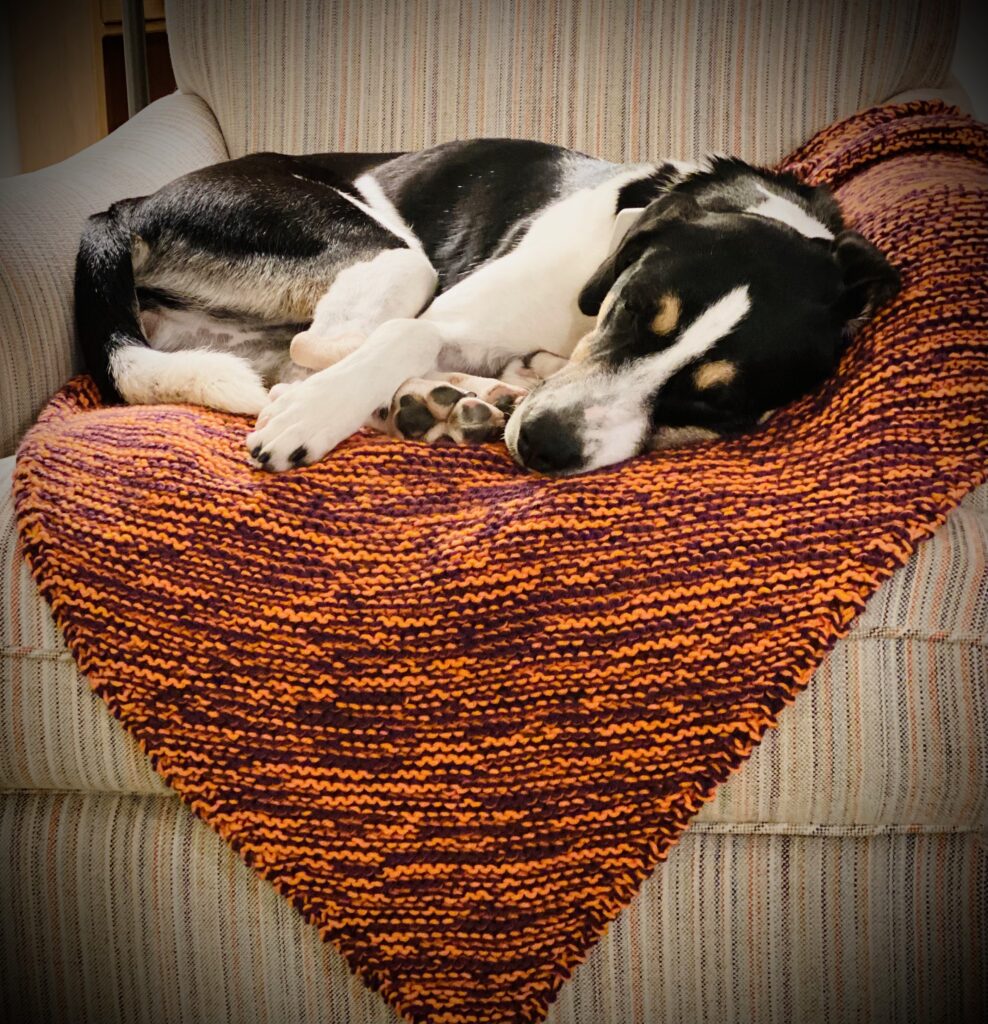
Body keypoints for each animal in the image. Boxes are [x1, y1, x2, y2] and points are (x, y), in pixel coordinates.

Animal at [73, 138, 896, 477]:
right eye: (630, 309)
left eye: (716, 405)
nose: (544, 447)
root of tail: (125, 206)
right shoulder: (449, 314)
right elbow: (402, 339)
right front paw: (313, 419)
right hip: (389, 255)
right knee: (320, 351)